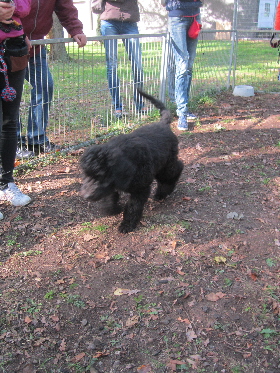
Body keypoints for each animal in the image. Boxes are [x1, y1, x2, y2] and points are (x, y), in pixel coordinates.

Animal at [80, 88, 184, 231]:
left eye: (100, 176)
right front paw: (112, 209)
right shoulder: (113, 185)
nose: (85, 195)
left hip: (165, 165)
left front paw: (127, 224)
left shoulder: (140, 189)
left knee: (176, 169)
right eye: (85, 175)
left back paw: (162, 193)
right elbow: (111, 197)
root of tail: (163, 124)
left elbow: (132, 207)